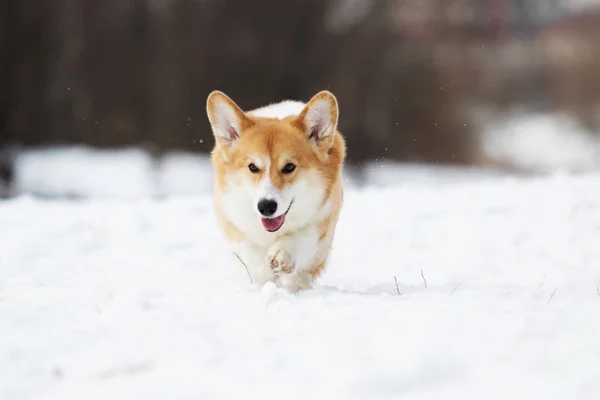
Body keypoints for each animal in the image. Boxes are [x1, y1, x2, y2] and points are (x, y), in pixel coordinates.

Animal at [206, 90, 346, 290]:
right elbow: (250, 251)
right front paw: (265, 280)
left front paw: (282, 254)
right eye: (252, 167)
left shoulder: (323, 219)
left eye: (289, 167)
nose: (266, 207)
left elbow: (302, 234)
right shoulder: (230, 219)